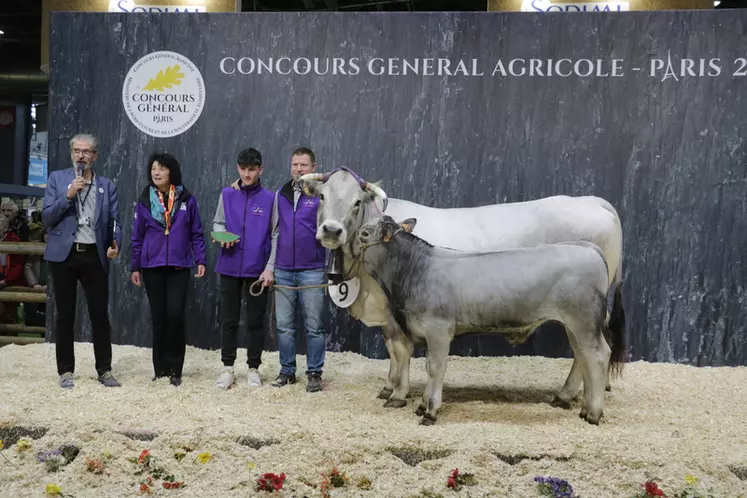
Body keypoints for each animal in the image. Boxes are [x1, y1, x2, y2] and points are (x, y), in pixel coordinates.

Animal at [354, 216, 628, 426]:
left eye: (364, 234)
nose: (352, 238)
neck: (417, 270)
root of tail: (587, 248)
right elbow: (429, 366)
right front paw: (422, 405)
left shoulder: (439, 330)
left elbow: (436, 368)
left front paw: (430, 411)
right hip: (575, 325)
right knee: (582, 357)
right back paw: (577, 405)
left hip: (584, 320)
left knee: (598, 356)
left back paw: (594, 413)